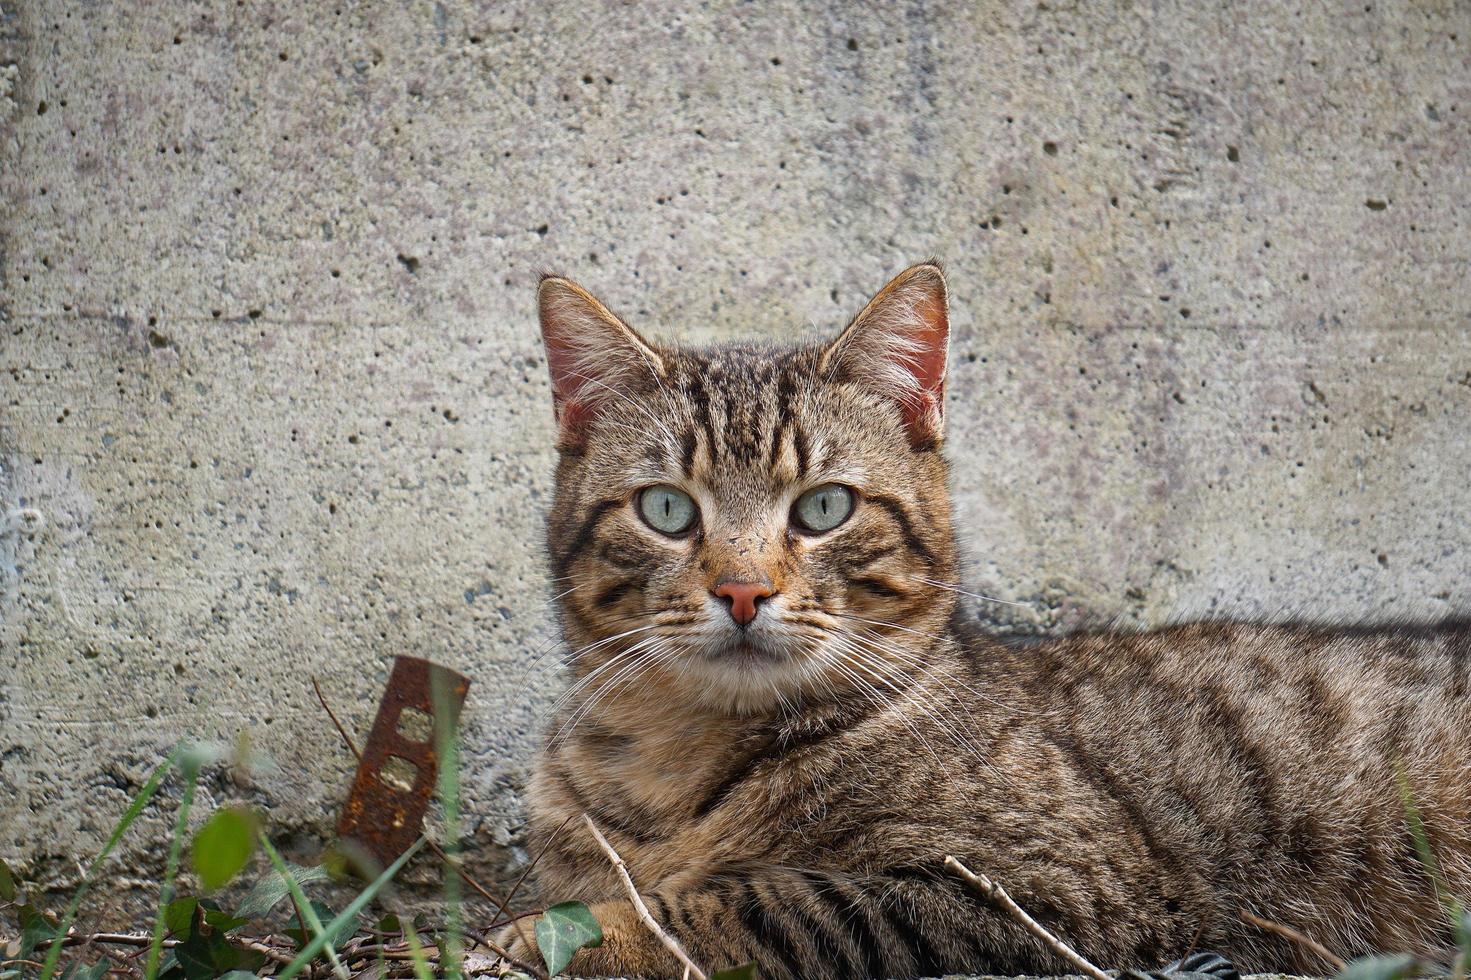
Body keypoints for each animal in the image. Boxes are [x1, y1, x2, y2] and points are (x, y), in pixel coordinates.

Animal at [497, 263, 1471, 971]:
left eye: (823, 508)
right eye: (666, 510)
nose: (741, 590)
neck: (676, 760)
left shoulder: (1047, 890)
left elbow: (757, 902)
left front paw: (568, 936)